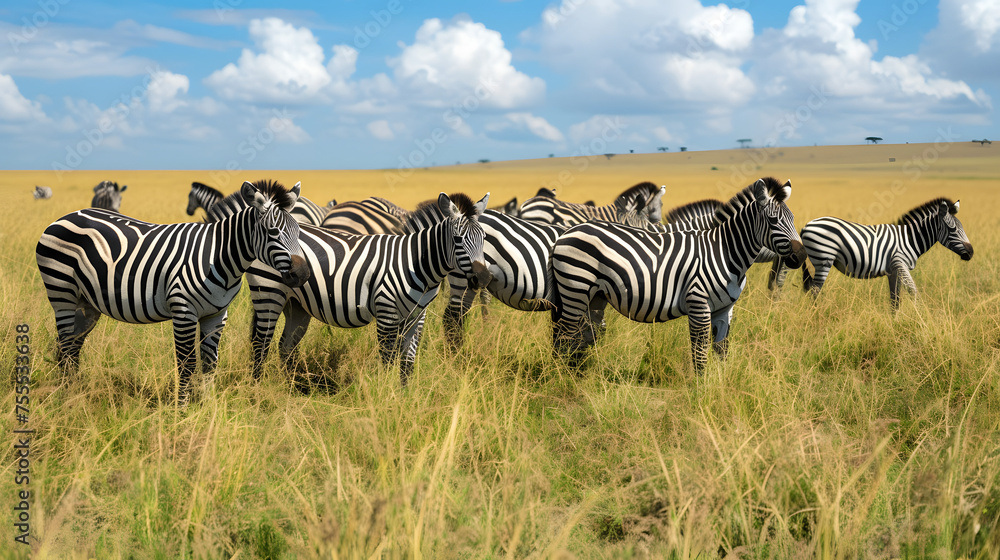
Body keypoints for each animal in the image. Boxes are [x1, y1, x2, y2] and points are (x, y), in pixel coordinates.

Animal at [36, 179, 310, 403]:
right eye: (273, 232)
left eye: (299, 232)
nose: (303, 274)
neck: (218, 255)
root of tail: (64, 217)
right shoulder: (183, 311)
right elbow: (187, 364)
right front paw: (182, 411)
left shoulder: (217, 315)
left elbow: (210, 363)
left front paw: (208, 409)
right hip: (62, 293)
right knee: (65, 345)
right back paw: (66, 398)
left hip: (86, 303)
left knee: (72, 346)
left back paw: (75, 394)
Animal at [229, 193, 491, 386]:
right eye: (458, 239)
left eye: (484, 237)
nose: (484, 277)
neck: (415, 261)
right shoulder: (387, 312)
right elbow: (388, 359)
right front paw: (386, 396)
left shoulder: (418, 316)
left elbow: (408, 362)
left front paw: (404, 396)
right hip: (269, 293)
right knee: (260, 343)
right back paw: (258, 389)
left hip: (296, 306)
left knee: (285, 346)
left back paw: (292, 388)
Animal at [549, 177, 806, 372]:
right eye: (773, 220)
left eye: (793, 219)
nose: (801, 255)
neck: (724, 252)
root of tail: (568, 232)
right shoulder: (698, 304)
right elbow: (699, 353)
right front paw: (701, 393)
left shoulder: (725, 309)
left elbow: (721, 349)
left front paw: (722, 387)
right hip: (575, 288)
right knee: (564, 335)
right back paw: (561, 378)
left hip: (595, 297)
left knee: (582, 335)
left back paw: (580, 374)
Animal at [800, 198, 973, 311]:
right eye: (952, 229)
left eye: (962, 227)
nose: (971, 253)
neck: (910, 239)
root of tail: (806, 226)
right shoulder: (900, 263)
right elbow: (914, 292)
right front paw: (922, 320)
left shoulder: (894, 270)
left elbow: (895, 299)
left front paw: (895, 322)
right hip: (823, 260)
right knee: (815, 291)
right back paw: (817, 315)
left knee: (812, 289)